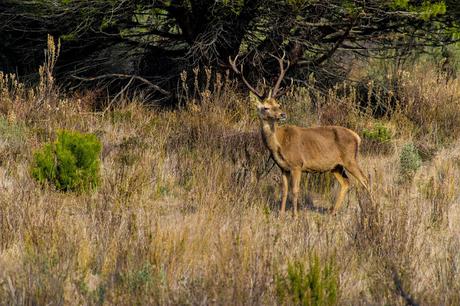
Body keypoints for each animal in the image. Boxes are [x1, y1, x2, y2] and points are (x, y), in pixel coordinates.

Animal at [229, 53, 370, 215]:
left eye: (278, 104)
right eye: (265, 108)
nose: (282, 114)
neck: (279, 144)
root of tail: (357, 137)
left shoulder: (297, 164)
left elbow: (295, 190)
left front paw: (295, 216)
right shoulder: (283, 168)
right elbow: (284, 190)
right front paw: (281, 214)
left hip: (350, 159)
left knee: (365, 180)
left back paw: (371, 208)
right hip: (336, 166)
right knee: (346, 182)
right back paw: (333, 212)